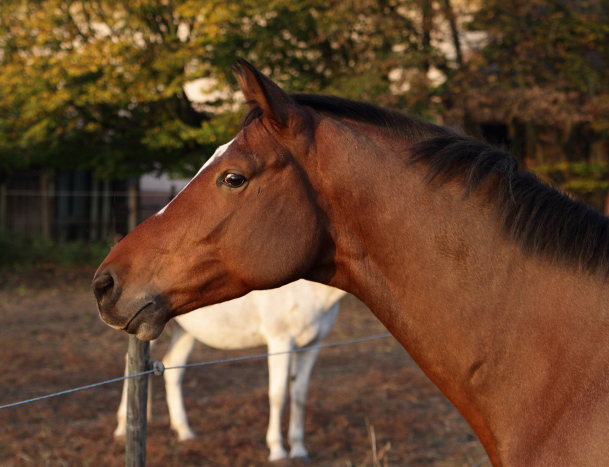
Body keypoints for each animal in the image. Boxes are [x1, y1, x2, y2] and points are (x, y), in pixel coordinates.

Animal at [113, 280, 342, 462]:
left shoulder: (312, 345)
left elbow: (299, 395)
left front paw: (299, 450)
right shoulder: (280, 341)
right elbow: (278, 396)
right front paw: (277, 451)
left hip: (184, 330)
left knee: (172, 368)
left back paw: (184, 431)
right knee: (128, 362)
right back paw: (123, 427)